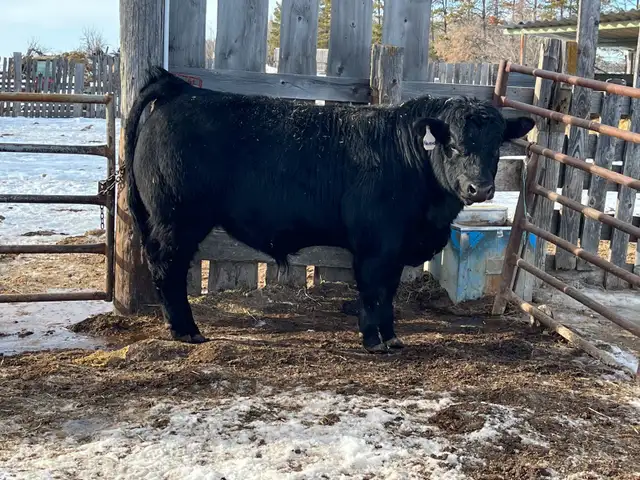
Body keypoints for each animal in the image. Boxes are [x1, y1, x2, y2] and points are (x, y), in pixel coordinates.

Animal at [124, 66, 534, 354]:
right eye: (453, 144)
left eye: (497, 145)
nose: (480, 188)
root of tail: (183, 89)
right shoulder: (375, 245)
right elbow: (372, 291)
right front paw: (374, 340)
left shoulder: (395, 248)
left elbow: (388, 292)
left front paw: (392, 337)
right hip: (177, 219)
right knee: (168, 267)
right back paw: (186, 330)